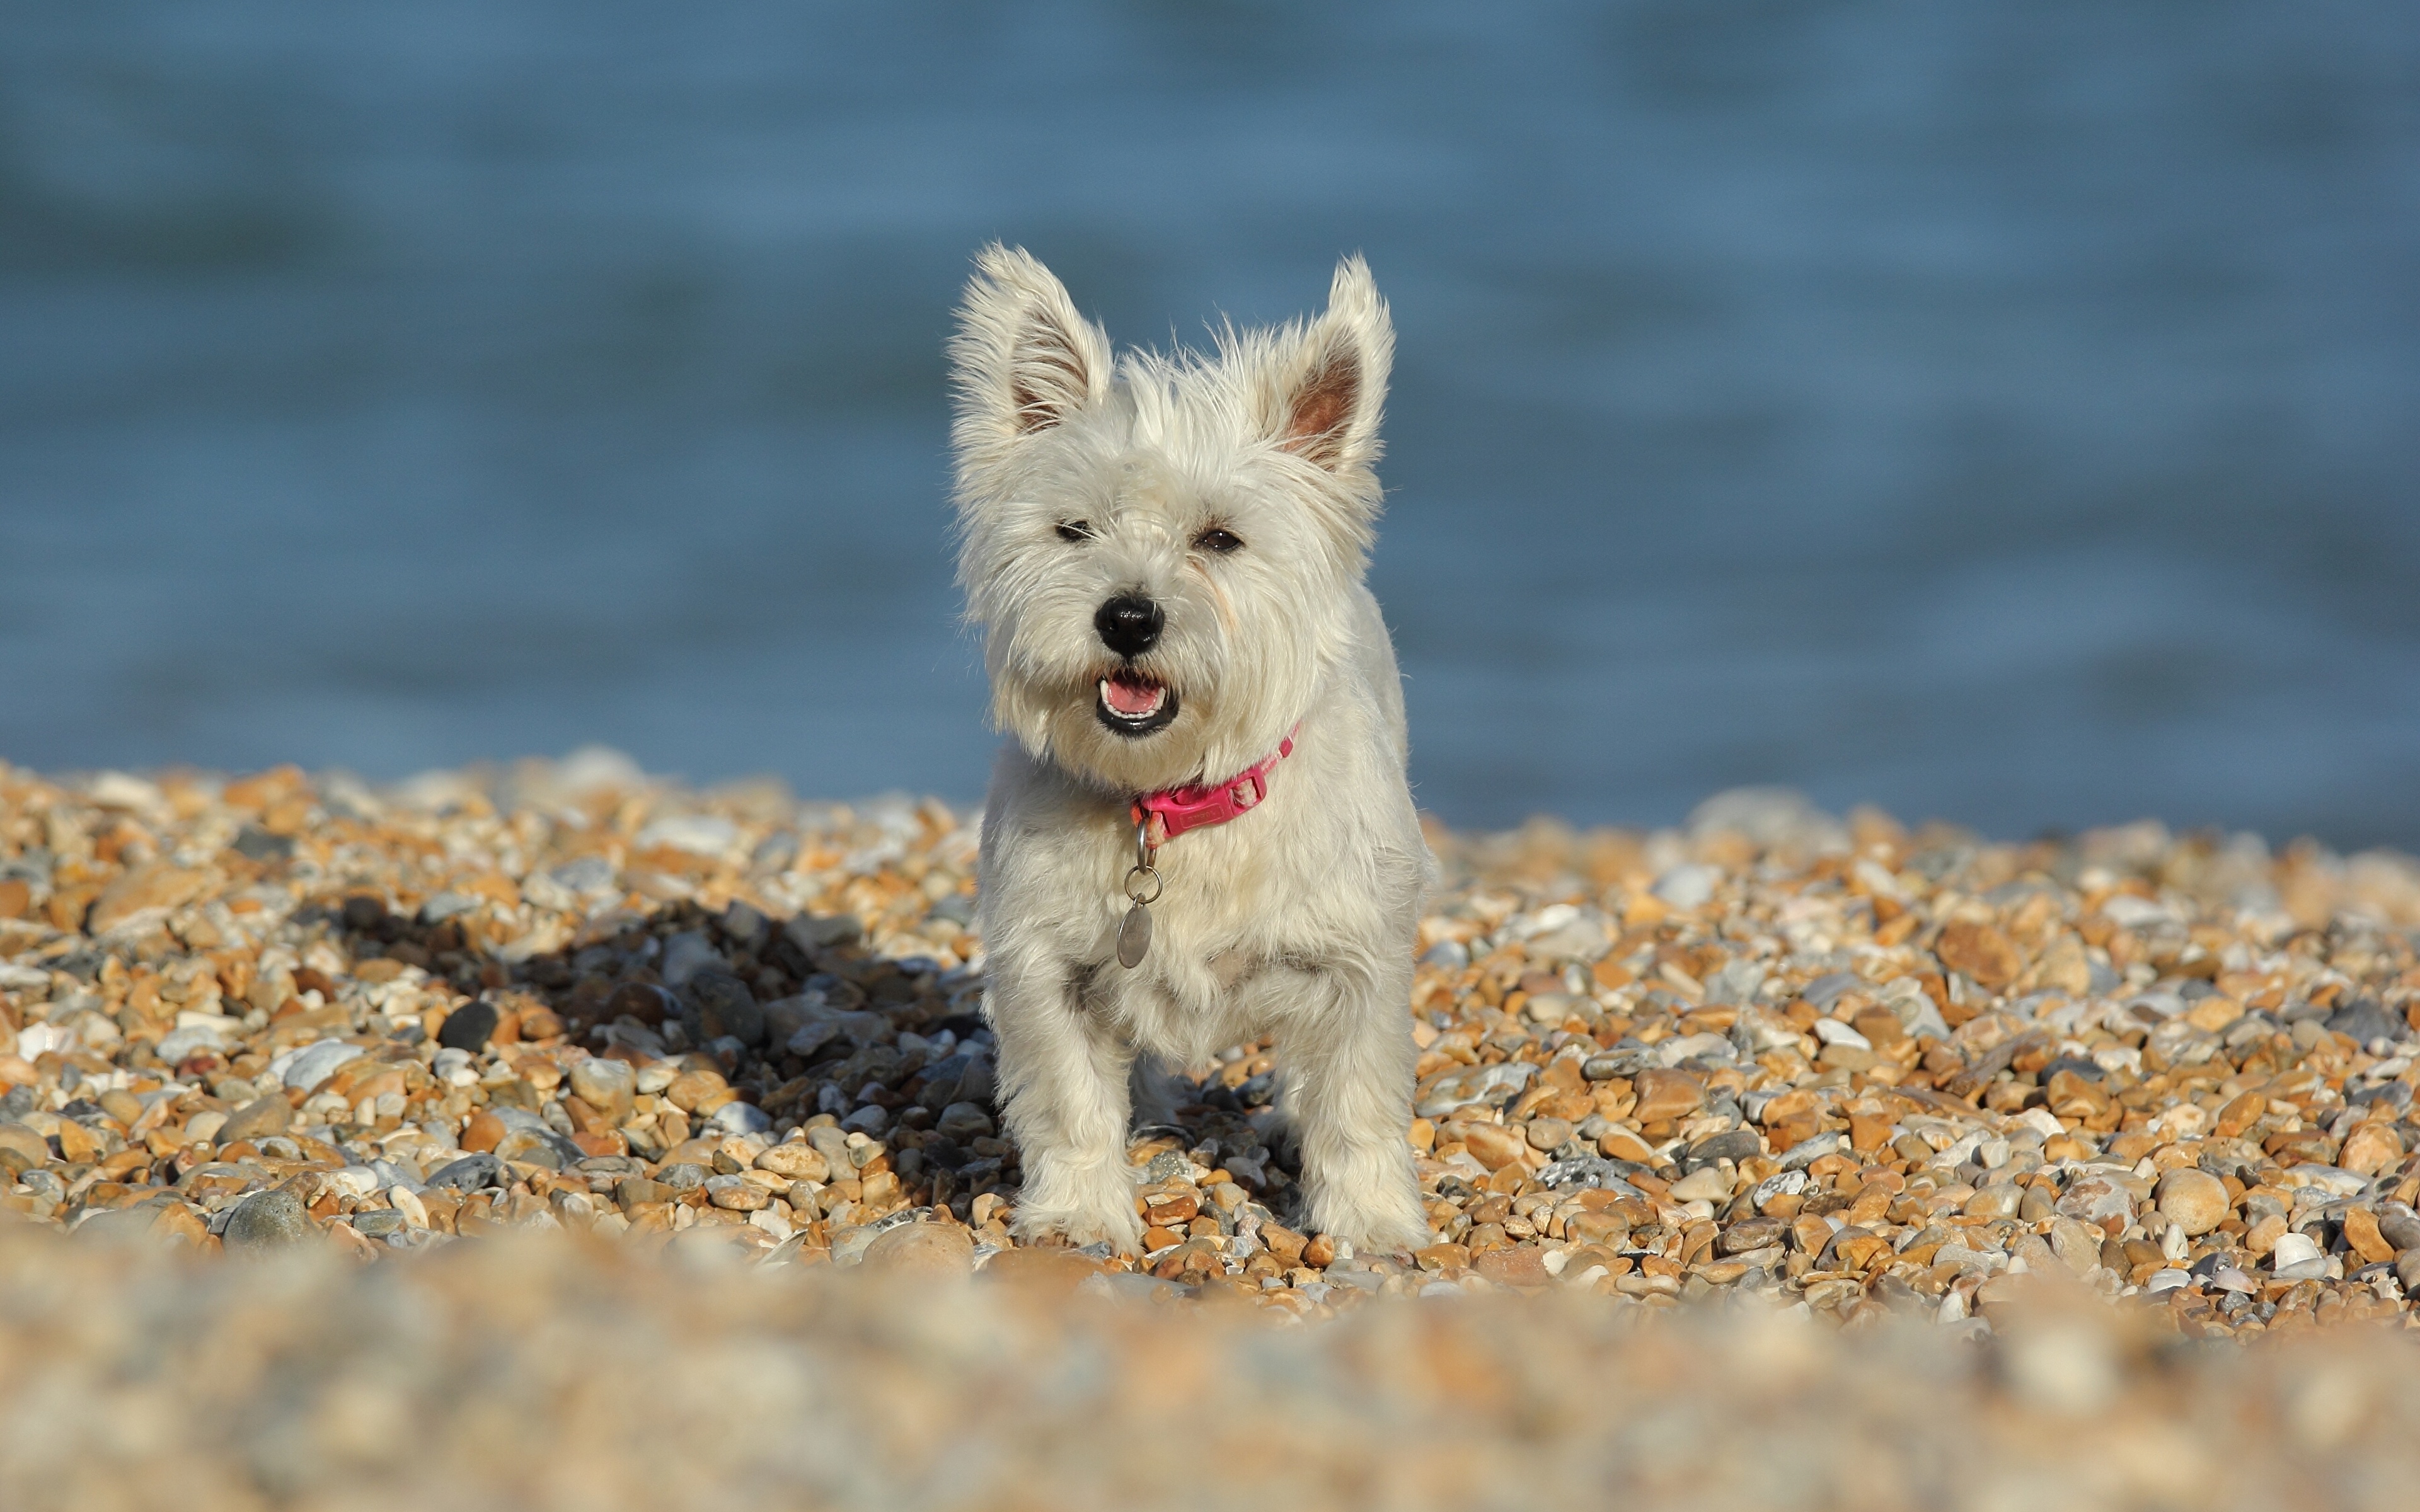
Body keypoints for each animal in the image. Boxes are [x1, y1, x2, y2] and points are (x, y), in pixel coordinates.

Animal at [943, 248, 1432, 1257]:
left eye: (1220, 538)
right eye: (1073, 529)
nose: (1129, 618)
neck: (1173, 802)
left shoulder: (1354, 964)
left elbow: (1357, 1104)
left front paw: (1373, 1226)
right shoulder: (1048, 967)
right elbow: (1070, 1102)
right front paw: (1079, 1216)